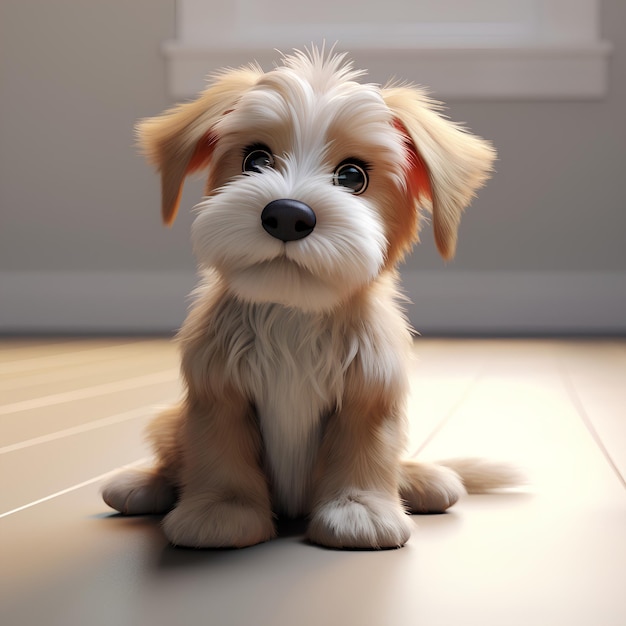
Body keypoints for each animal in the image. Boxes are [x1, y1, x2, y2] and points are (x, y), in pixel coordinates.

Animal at [103, 48, 512, 544]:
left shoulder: (369, 394)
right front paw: (221, 511)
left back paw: (418, 478)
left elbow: (365, 450)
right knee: (172, 451)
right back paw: (144, 483)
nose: (286, 214)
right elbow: (219, 451)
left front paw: (359, 510)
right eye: (256, 159)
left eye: (353, 176)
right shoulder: (216, 393)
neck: (293, 311)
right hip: (168, 420)